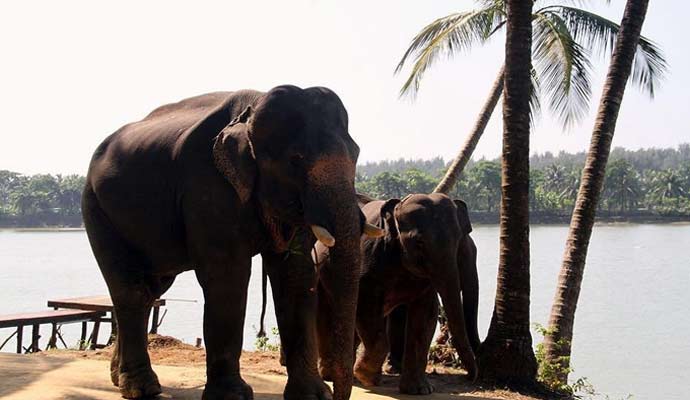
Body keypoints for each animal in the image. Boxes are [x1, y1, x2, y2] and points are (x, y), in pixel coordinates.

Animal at [82, 85, 383, 400]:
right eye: (296, 159)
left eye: (356, 154)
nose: (336, 393)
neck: (252, 109)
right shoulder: (207, 186)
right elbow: (228, 277)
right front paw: (232, 396)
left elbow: (295, 276)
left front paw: (312, 396)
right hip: (95, 208)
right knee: (130, 290)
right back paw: (141, 388)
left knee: (151, 289)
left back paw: (119, 378)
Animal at [315, 193, 479, 395]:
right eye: (419, 242)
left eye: (457, 241)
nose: (470, 377)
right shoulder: (368, 260)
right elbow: (366, 307)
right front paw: (366, 376)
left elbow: (426, 315)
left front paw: (419, 390)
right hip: (320, 274)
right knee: (326, 315)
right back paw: (331, 375)